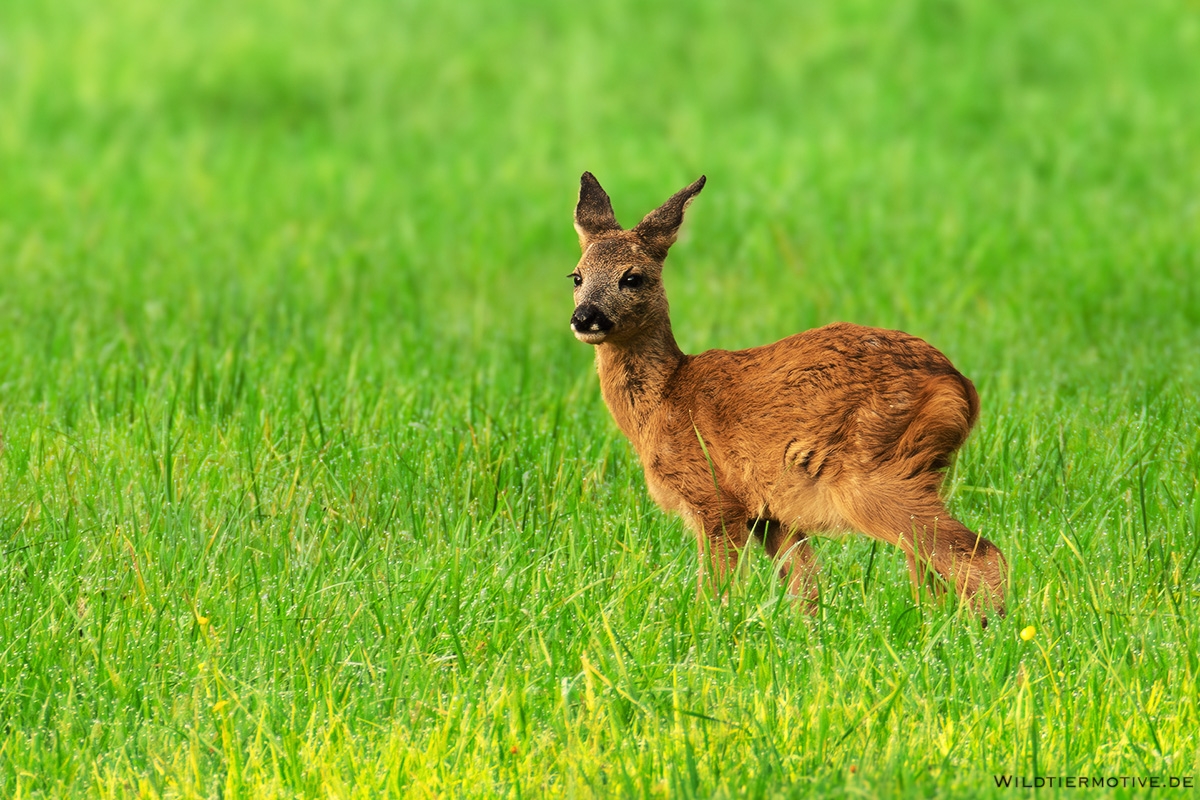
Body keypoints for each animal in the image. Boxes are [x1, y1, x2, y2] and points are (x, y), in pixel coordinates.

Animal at [568, 172, 1007, 624]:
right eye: (577, 277)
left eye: (632, 277)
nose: (585, 318)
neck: (667, 398)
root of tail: (960, 385)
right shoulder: (769, 513)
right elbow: (806, 589)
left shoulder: (714, 497)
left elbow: (718, 591)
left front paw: (709, 628)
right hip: (917, 471)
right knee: (929, 571)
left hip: (876, 471)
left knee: (978, 553)